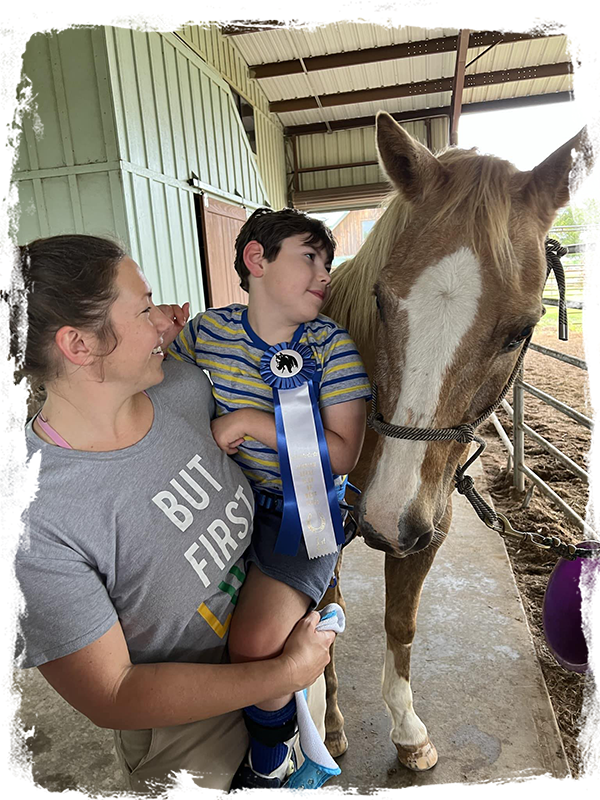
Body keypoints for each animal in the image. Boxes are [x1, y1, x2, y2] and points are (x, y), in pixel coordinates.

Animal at [322, 109, 596, 772]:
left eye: (521, 330)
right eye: (380, 300)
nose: (387, 517)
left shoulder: (429, 525)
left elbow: (401, 624)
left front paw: (407, 730)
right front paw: (332, 726)